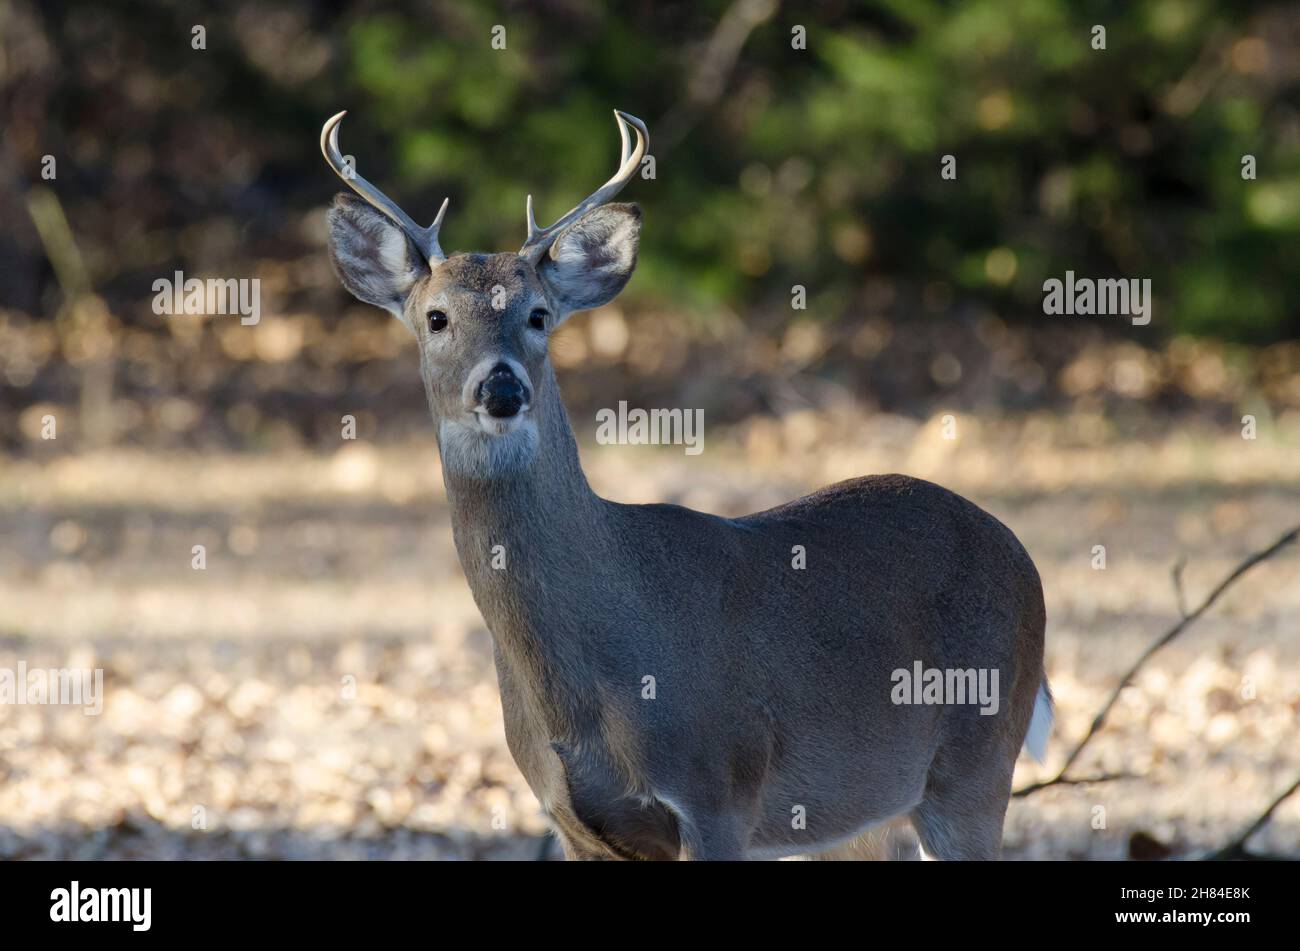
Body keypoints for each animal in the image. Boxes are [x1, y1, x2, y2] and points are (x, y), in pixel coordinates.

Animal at [320, 108, 1052, 860]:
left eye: (538, 314)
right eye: (436, 317)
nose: (501, 387)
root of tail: (1017, 550)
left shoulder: (718, 788)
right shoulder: (570, 819)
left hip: (978, 756)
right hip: (867, 813)